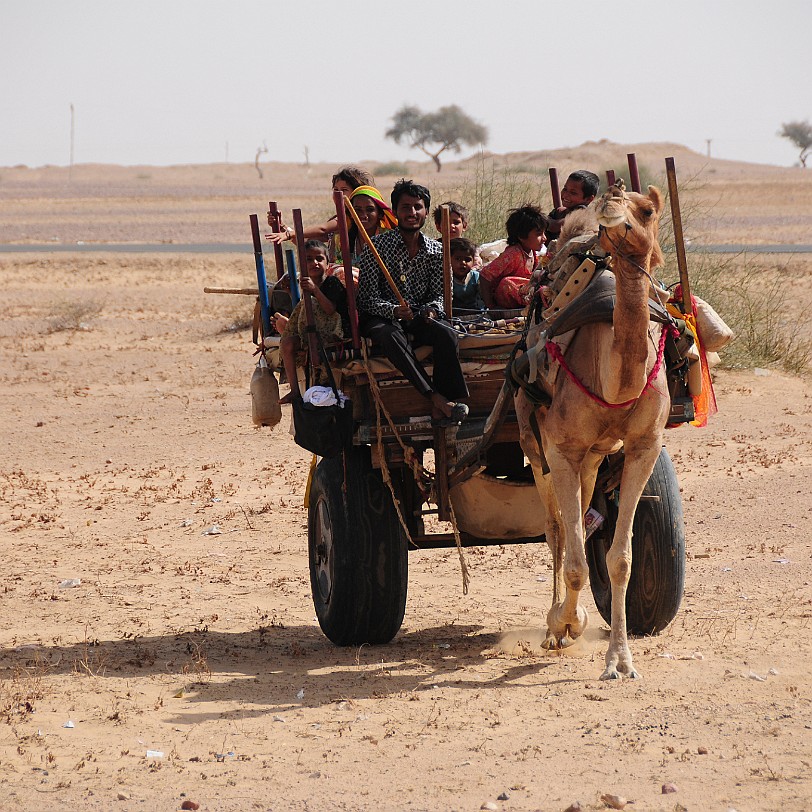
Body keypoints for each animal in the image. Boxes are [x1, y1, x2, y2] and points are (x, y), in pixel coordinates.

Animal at [516, 179, 668, 680]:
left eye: (646, 209)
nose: (610, 198)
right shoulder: (560, 448)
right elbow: (575, 557)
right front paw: (565, 624)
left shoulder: (643, 446)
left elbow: (619, 559)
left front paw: (620, 661)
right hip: (533, 440)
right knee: (556, 528)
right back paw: (555, 625)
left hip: (596, 454)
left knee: (580, 514)